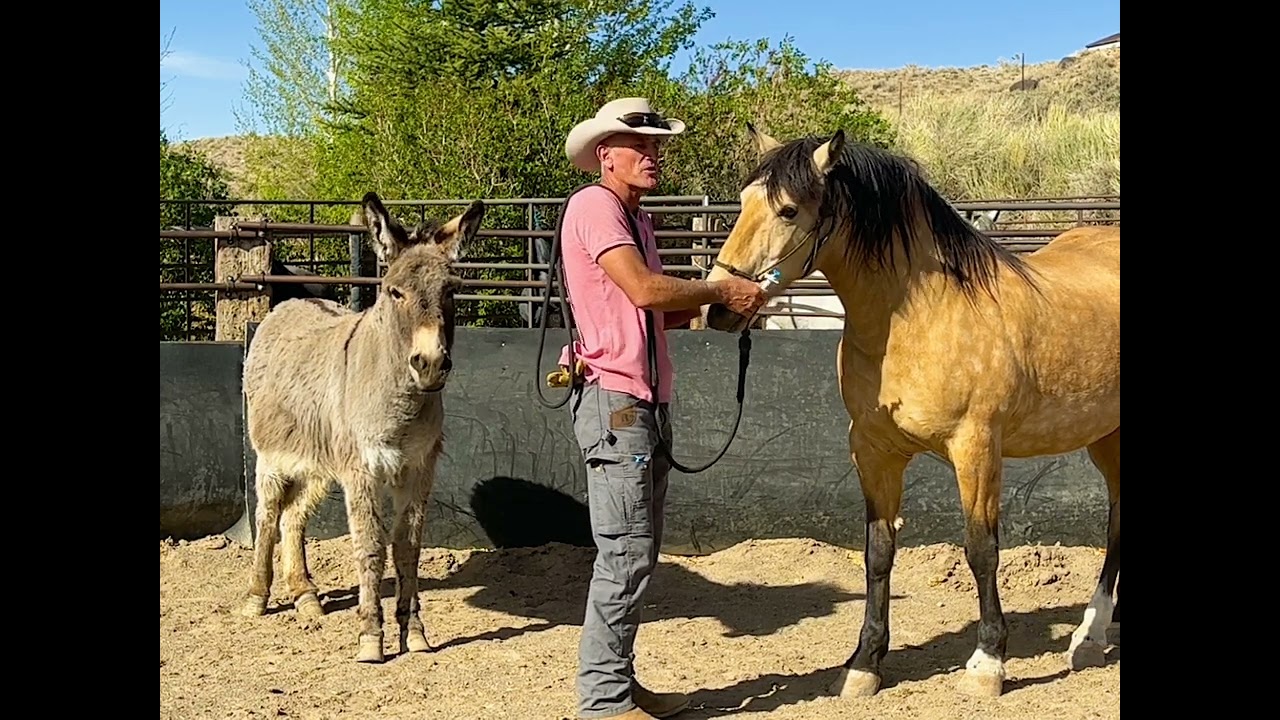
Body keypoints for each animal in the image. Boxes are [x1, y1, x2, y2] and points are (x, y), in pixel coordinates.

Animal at [237, 191, 485, 664]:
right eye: (394, 291)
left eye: (451, 290)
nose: (430, 365)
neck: (400, 403)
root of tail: (288, 304)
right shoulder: (362, 471)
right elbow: (370, 547)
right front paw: (371, 638)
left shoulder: (418, 468)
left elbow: (407, 548)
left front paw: (415, 633)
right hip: (271, 458)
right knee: (268, 515)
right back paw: (257, 597)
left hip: (317, 465)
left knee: (294, 518)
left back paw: (305, 596)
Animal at [703, 125, 1119, 699]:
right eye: (743, 202)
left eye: (788, 210)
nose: (720, 306)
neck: (922, 315)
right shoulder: (874, 451)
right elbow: (878, 553)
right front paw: (864, 664)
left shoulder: (976, 448)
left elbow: (981, 549)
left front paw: (988, 663)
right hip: (1105, 436)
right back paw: (1095, 635)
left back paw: (1088, 635)